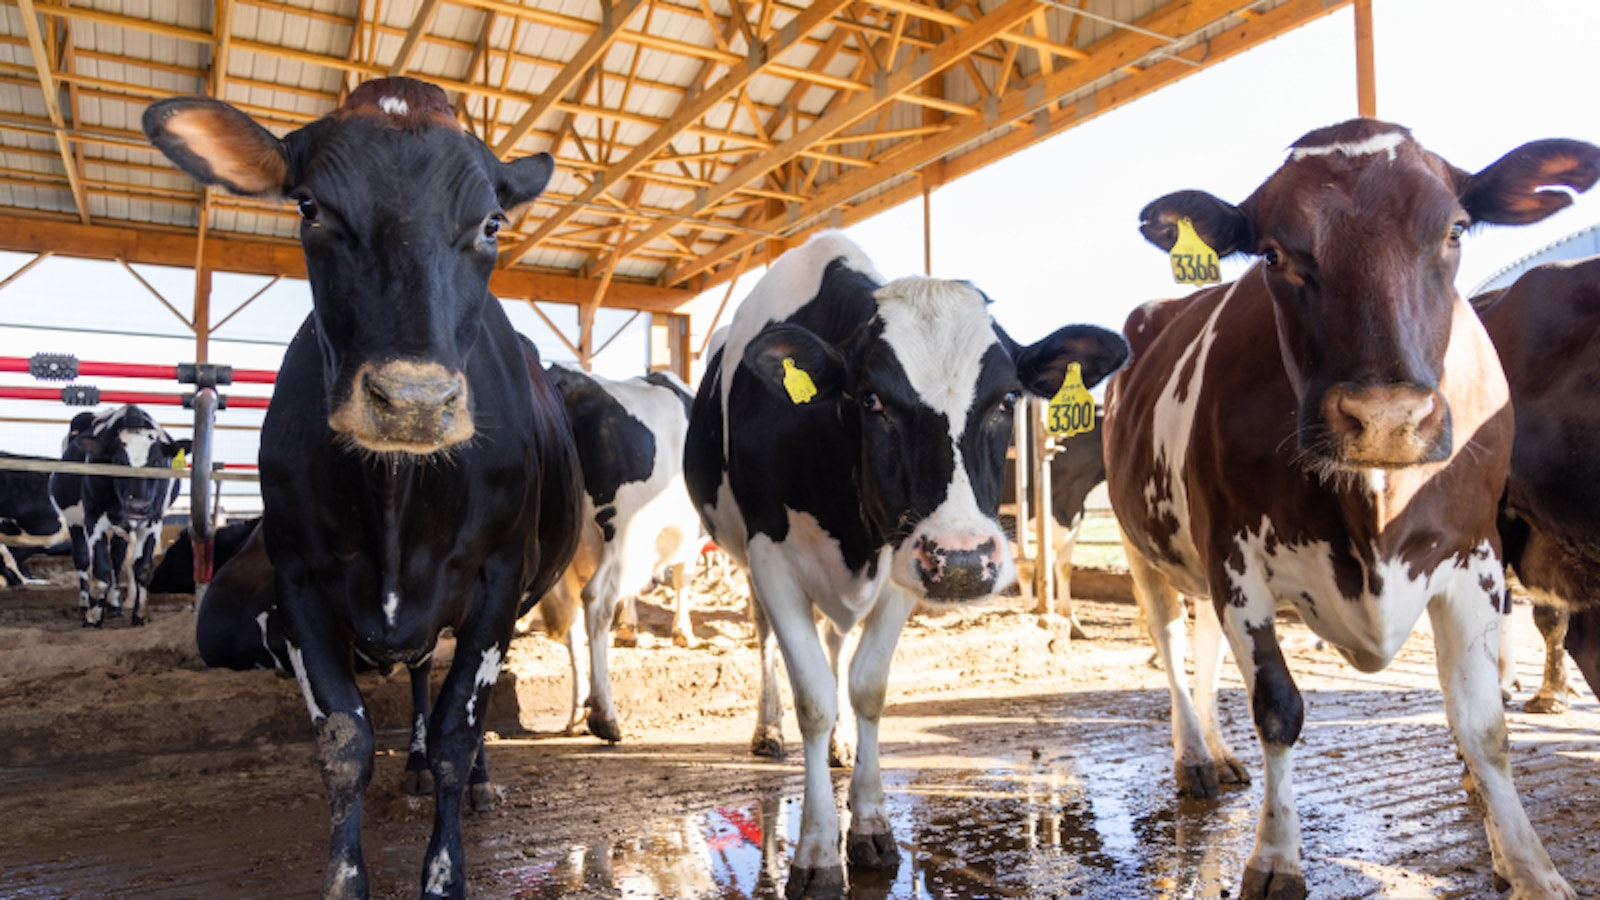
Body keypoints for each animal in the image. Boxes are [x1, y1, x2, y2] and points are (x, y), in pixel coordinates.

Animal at [48, 406, 188, 627]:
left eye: (157, 462)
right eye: (118, 461)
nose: (137, 505)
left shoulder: (153, 520)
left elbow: (142, 568)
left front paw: (140, 615)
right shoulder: (93, 519)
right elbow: (101, 572)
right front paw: (94, 616)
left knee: (116, 557)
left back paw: (114, 605)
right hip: (74, 521)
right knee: (82, 559)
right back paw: (85, 605)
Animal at [144, 76, 582, 900]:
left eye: (492, 222)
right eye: (310, 207)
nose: (412, 400)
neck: (395, 503)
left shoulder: (500, 579)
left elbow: (457, 728)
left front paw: (444, 871)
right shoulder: (298, 580)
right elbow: (344, 738)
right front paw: (347, 876)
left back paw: (477, 782)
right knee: (415, 676)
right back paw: (409, 766)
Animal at [535, 364, 702, 743]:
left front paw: (632, 626)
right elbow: (683, 575)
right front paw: (682, 631)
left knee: (572, 619)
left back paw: (578, 709)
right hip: (625, 531)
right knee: (597, 600)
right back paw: (604, 714)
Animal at [684, 230, 1127, 898]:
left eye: (1006, 398)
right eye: (871, 398)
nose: (966, 557)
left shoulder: (904, 560)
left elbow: (867, 686)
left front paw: (869, 824)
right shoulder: (771, 555)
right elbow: (813, 696)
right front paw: (816, 851)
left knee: (837, 643)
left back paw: (841, 746)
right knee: (766, 640)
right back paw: (768, 732)